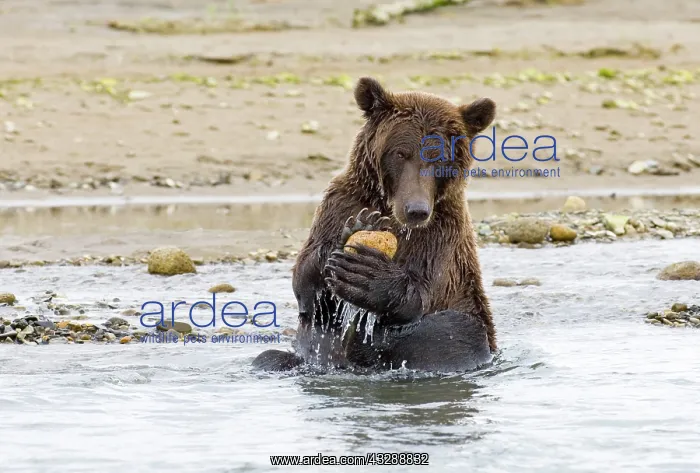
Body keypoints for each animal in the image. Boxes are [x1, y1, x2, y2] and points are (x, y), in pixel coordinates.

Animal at [252, 77, 497, 372]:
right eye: (401, 153)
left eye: (439, 157)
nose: (416, 210)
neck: (390, 209)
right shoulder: (340, 204)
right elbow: (309, 291)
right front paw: (352, 233)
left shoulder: (443, 233)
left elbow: (420, 292)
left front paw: (369, 275)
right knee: (270, 357)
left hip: (466, 324)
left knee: (444, 333)